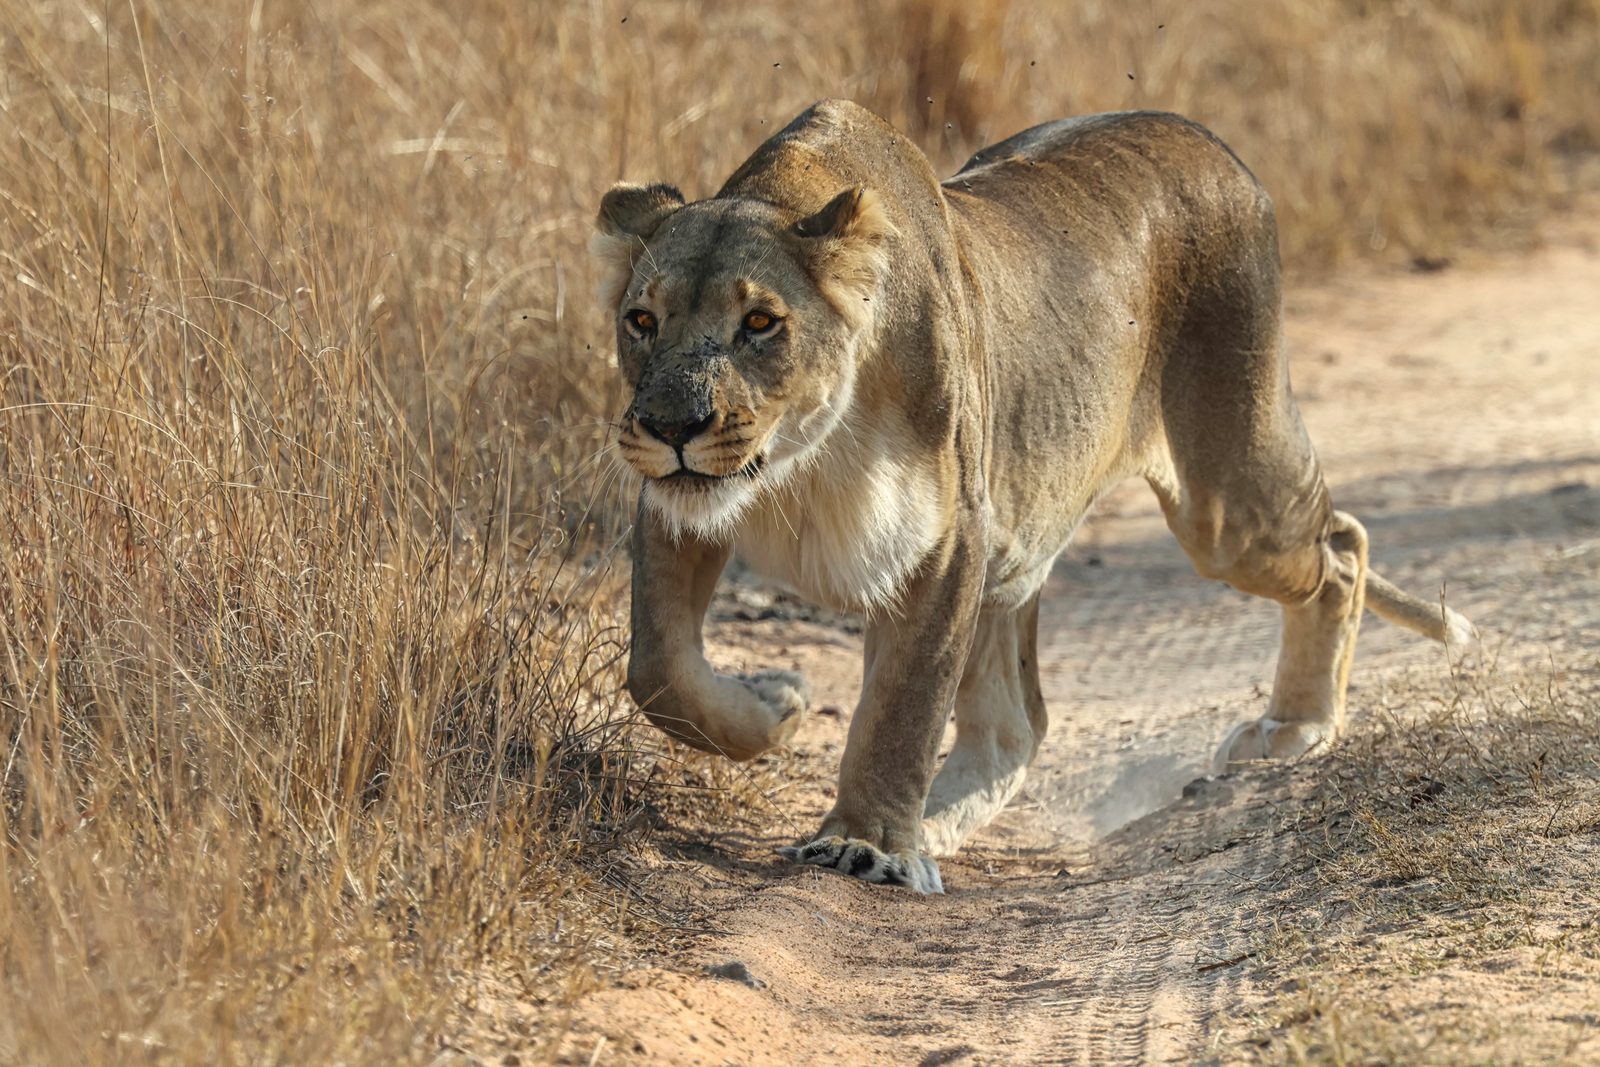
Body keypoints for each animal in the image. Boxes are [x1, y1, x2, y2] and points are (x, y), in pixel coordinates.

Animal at [593, 100, 1472, 894]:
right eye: (641, 320)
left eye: (760, 323)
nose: (672, 425)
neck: (805, 454)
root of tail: (1215, 143)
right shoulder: (680, 507)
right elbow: (659, 666)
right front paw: (774, 705)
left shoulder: (949, 540)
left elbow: (901, 710)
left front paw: (865, 844)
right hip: (1023, 551)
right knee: (1015, 727)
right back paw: (938, 824)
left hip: (1226, 502)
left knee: (1343, 546)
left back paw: (1295, 727)